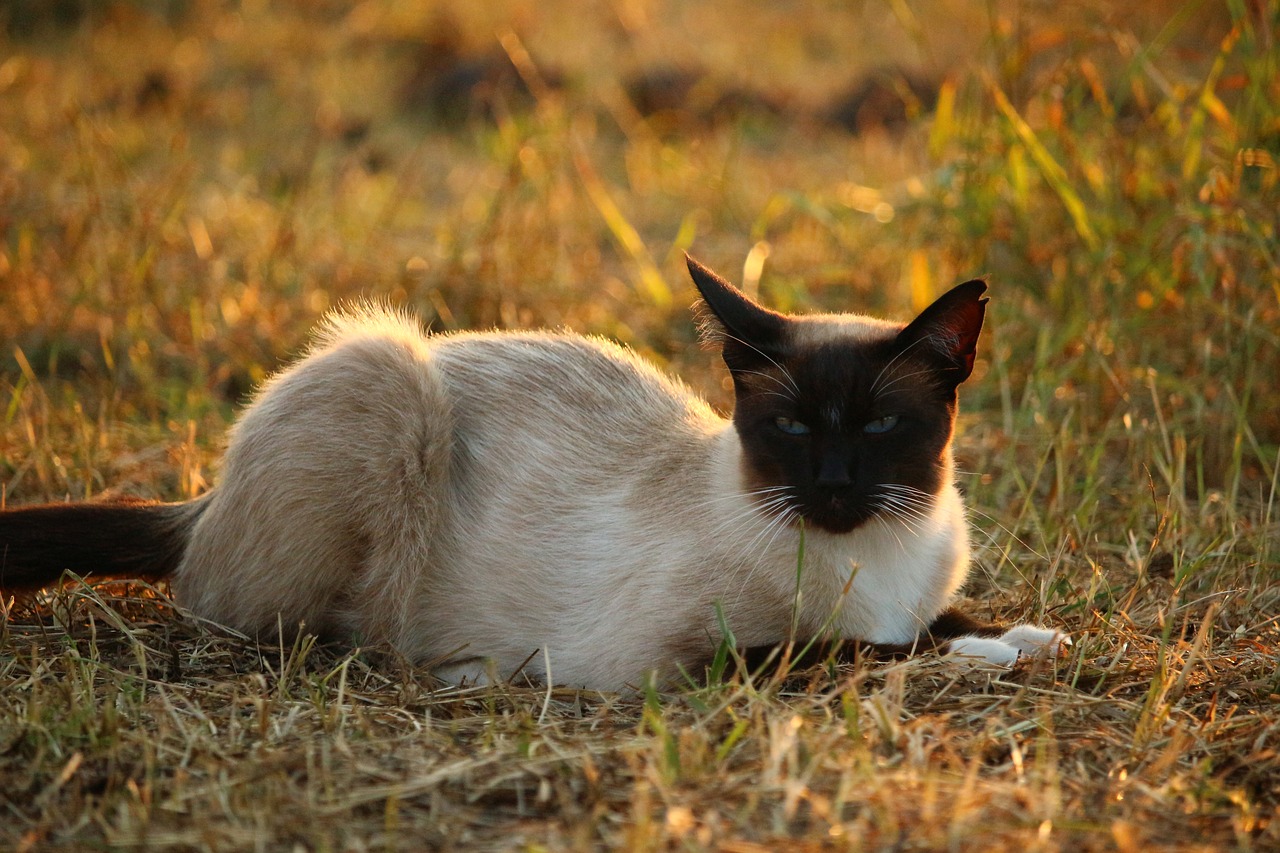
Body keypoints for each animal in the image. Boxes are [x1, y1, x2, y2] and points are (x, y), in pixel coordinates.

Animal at [0, 256, 1064, 686]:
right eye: (793, 427)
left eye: (882, 424)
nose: (835, 487)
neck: (867, 558)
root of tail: (202, 499)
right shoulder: (684, 661)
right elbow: (865, 648)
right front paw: (990, 655)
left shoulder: (919, 590)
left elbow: (940, 619)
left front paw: (1028, 636)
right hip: (387, 377)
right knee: (298, 625)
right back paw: (469, 670)